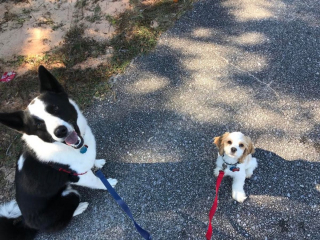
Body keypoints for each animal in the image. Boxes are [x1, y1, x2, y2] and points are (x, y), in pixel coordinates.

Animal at [0, 65, 116, 240]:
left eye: (54, 108)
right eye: (39, 125)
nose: (60, 131)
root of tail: (25, 223)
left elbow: (92, 163)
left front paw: (97, 163)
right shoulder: (79, 177)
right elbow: (97, 181)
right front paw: (109, 183)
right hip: (70, 195)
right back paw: (80, 207)